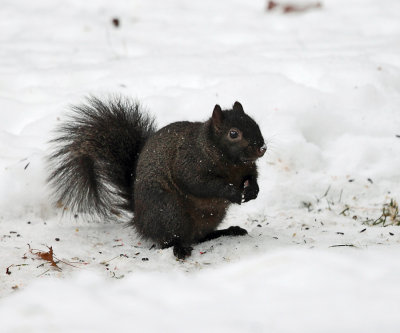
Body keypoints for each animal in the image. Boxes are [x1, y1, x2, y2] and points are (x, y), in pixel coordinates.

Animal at [47, 97, 266, 258]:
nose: (262, 148)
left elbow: (251, 177)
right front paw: (232, 192)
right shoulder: (189, 163)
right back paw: (180, 248)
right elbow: (199, 183)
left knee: (200, 236)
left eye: (255, 123)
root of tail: (139, 219)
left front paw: (252, 190)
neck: (230, 161)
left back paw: (229, 231)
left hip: (209, 217)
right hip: (169, 211)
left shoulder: (247, 168)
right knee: (170, 240)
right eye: (233, 133)